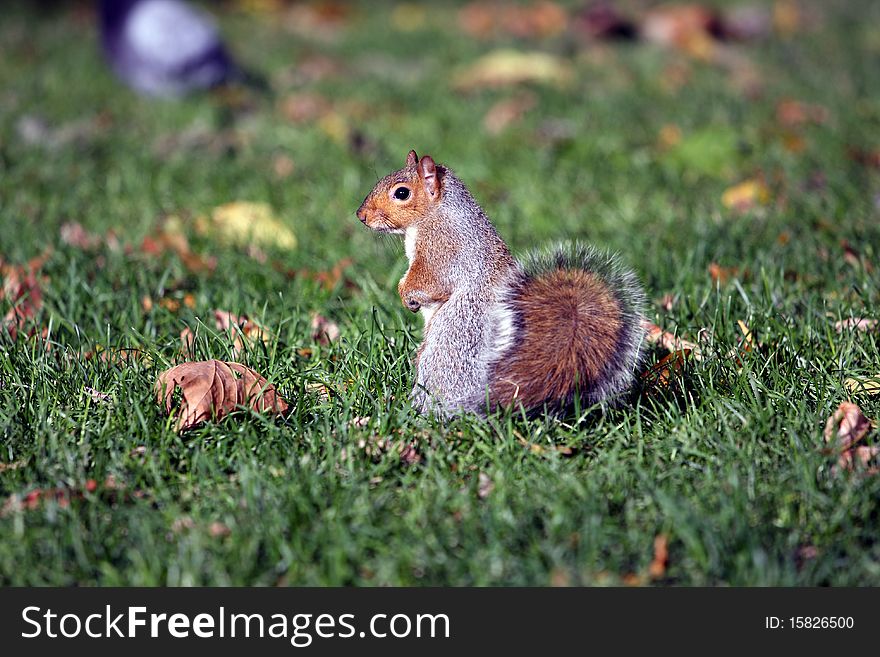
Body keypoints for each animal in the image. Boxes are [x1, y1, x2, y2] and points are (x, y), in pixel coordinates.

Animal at [356, 149, 648, 416]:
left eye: (401, 193)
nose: (361, 215)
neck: (436, 212)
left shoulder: (441, 250)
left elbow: (430, 281)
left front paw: (406, 294)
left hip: (446, 344)